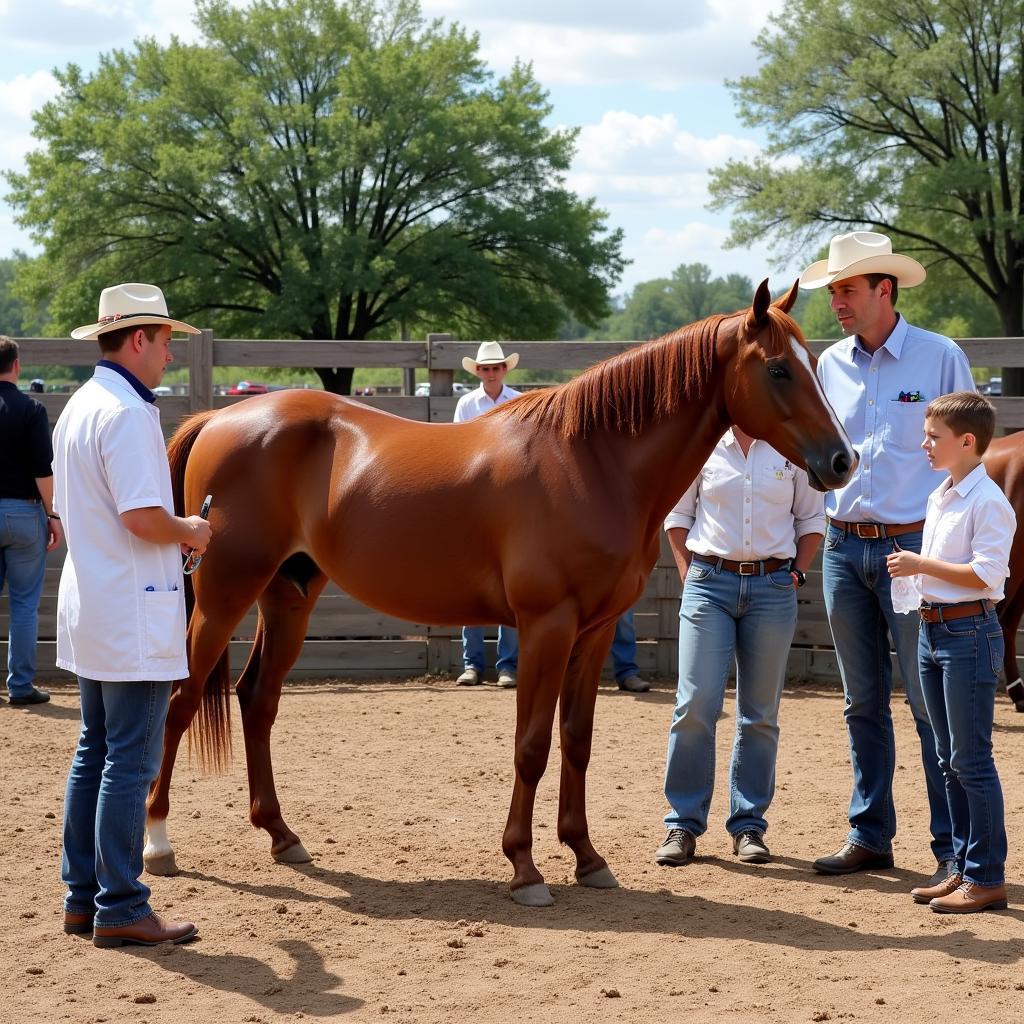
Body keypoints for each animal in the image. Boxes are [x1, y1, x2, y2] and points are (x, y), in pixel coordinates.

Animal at [140, 278, 851, 905]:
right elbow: (531, 745)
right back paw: (157, 843)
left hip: (288, 595)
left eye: (812, 363)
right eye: (780, 370)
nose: (842, 461)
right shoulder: (546, 626)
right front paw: (525, 868)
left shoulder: (593, 633)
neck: (592, 461)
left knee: (257, 700)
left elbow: (576, 742)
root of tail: (220, 417)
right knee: (179, 701)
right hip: (223, 595)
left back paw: (283, 837)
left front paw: (587, 858)